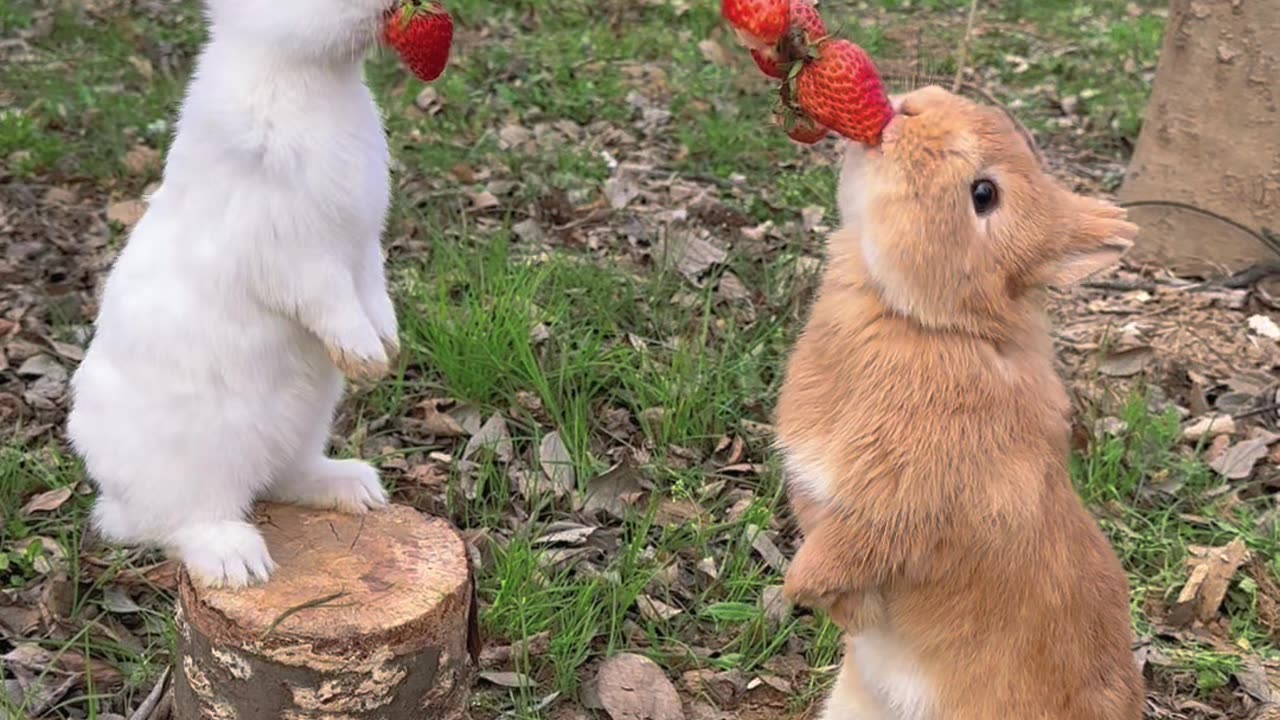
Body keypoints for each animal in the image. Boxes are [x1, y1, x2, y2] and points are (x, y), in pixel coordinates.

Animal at [67, 0, 396, 586]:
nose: (392, 7)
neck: (306, 75)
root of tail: (115, 497)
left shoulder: (362, 247)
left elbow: (374, 293)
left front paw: (388, 345)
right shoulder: (297, 255)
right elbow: (331, 301)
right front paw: (364, 357)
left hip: (305, 423)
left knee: (283, 478)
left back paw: (354, 487)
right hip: (197, 463)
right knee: (181, 524)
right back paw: (238, 561)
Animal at [773, 85, 1146, 717]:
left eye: (984, 194)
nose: (912, 107)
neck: (937, 326)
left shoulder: (897, 508)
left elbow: (840, 559)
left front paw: (808, 595)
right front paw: (845, 615)